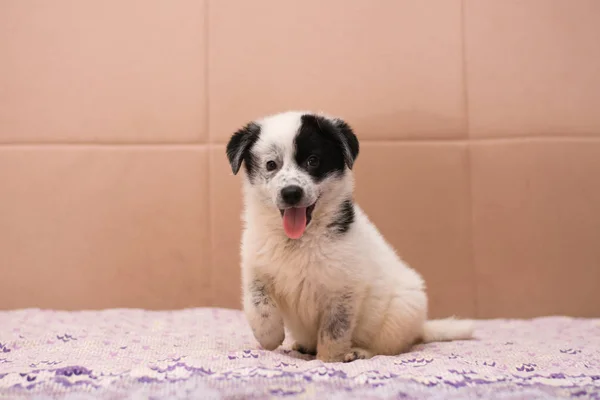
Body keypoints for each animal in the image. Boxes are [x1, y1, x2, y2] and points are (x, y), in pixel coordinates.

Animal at [225, 110, 474, 362]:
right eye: (271, 164)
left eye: (313, 161)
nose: (291, 193)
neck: (298, 240)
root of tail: (420, 329)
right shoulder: (256, 268)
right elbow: (257, 303)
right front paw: (269, 336)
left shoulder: (343, 289)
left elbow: (334, 331)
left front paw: (328, 360)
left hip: (402, 311)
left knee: (389, 348)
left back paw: (359, 352)